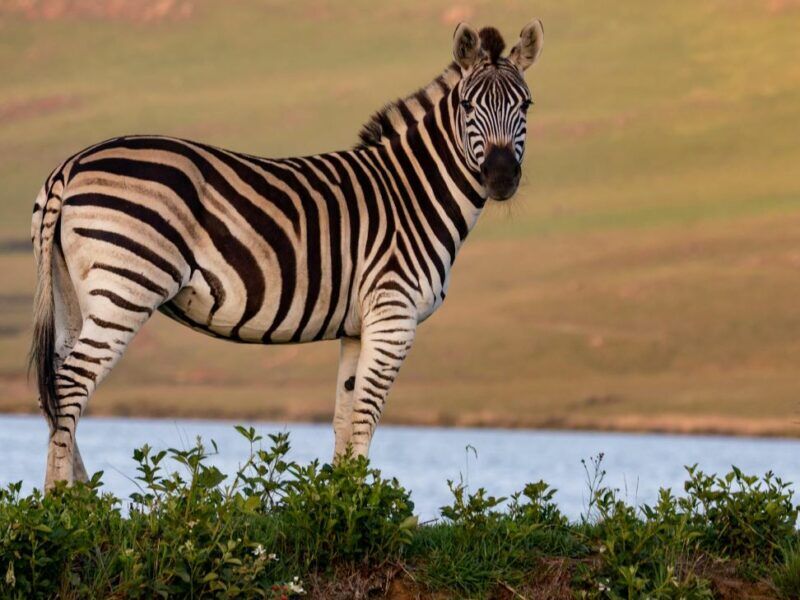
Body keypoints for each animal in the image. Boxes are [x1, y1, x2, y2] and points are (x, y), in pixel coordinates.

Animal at [30, 20, 544, 489]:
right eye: (467, 105)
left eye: (525, 105)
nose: (501, 177)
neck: (412, 193)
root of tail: (71, 165)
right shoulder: (393, 316)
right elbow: (366, 418)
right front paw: (363, 508)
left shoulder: (357, 327)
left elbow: (344, 419)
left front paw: (340, 504)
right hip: (127, 286)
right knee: (70, 384)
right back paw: (63, 501)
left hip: (73, 292)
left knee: (54, 384)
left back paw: (85, 500)